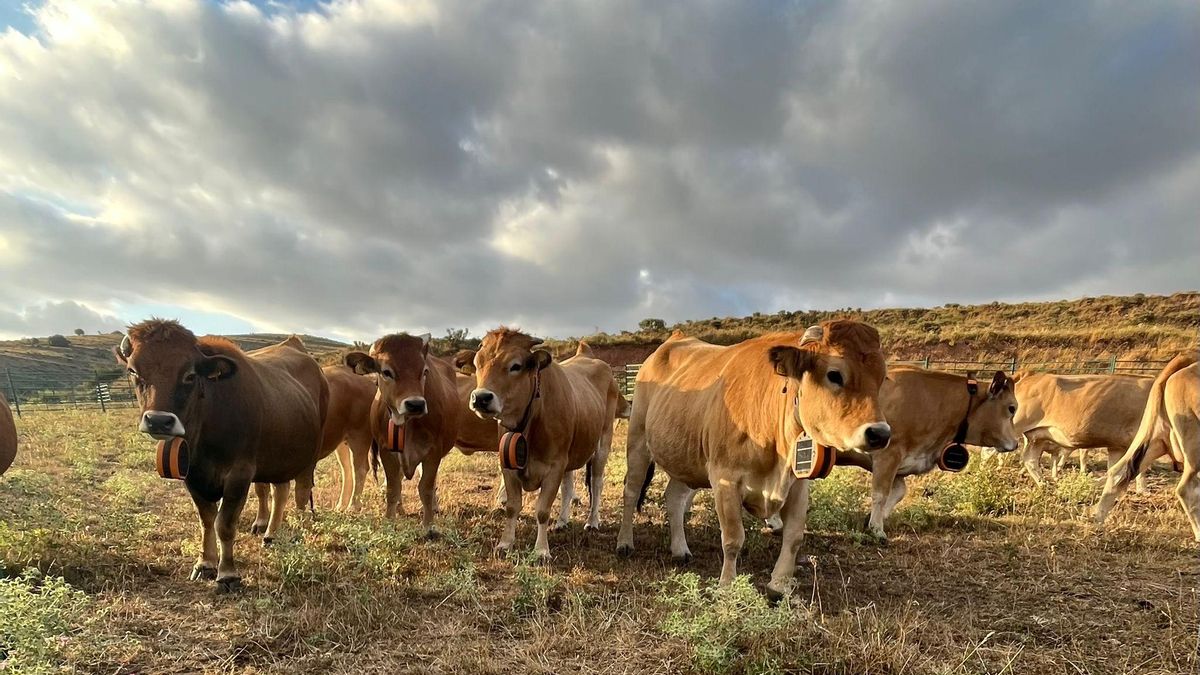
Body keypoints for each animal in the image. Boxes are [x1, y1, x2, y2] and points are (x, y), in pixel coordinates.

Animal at [116, 320, 328, 591]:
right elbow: (206, 520)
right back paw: (270, 533)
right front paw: (205, 563)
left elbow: (224, 524)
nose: (159, 421)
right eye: (133, 371)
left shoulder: (239, 474)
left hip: (307, 457)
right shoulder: (192, 475)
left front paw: (227, 573)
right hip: (278, 456)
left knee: (298, 492)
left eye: (190, 375)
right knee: (279, 490)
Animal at [468, 329, 621, 559]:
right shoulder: (509, 466)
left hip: (602, 444)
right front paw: (505, 543)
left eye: (515, 365)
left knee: (596, 482)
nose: (481, 398)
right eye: (478, 363)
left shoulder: (554, 466)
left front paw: (541, 550)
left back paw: (592, 521)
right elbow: (512, 506)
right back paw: (562, 521)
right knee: (568, 487)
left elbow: (542, 510)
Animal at [615, 321, 891, 599]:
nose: (880, 433)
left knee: (674, 498)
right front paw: (727, 586)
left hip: (685, 457)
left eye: (881, 378)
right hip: (638, 442)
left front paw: (779, 585)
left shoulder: (799, 484)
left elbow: (794, 537)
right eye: (834, 374)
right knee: (631, 492)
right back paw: (624, 542)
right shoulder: (725, 479)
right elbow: (733, 537)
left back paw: (680, 549)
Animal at [834, 366, 1020, 540]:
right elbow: (880, 494)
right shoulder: (888, 455)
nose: (1016, 443)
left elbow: (900, 492)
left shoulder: (900, 462)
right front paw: (877, 529)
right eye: (1012, 408)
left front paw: (870, 519)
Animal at [1012, 372, 1159, 489]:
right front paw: (1142, 490)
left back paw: (1044, 484)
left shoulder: (1117, 445)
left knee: (1030, 460)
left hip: (1037, 437)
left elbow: (1114, 470)